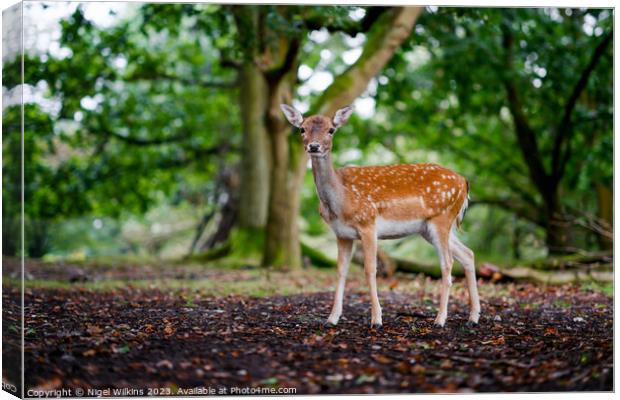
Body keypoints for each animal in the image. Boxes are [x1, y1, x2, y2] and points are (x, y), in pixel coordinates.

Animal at [280, 103, 480, 328]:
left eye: (331, 130)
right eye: (302, 129)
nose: (314, 146)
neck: (341, 200)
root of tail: (464, 182)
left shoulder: (368, 223)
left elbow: (370, 269)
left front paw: (376, 319)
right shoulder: (342, 234)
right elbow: (341, 271)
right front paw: (332, 318)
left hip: (441, 218)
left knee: (447, 263)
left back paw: (440, 319)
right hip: (429, 228)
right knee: (468, 254)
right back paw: (473, 317)